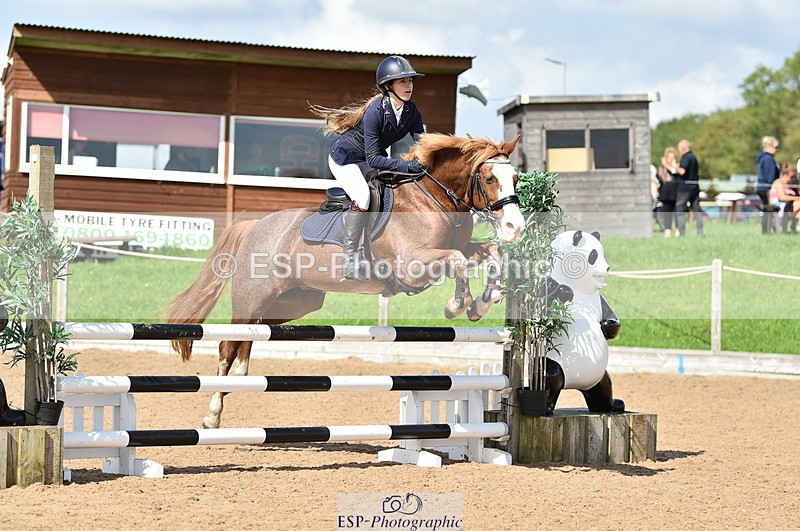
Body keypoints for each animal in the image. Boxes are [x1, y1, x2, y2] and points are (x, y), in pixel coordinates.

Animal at [163, 133, 525, 428]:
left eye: (516, 178)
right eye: (489, 178)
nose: (516, 228)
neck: (432, 199)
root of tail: (254, 226)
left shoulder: (459, 250)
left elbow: (491, 252)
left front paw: (482, 303)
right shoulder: (412, 265)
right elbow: (458, 261)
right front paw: (456, 305)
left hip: (294, 302)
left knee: (248, 338)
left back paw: (239, 380)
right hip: (252, 299)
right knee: (227, 345)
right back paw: (212, 415)